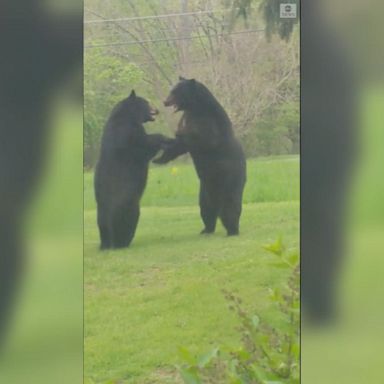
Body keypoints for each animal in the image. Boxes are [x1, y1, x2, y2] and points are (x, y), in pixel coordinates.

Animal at [94, 91, 170, 250]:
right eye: (147, 102)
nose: (157, 110)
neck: (127, 116)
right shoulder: (127, 133)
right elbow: (143, 145)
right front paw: (163, 138)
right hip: (129, 207)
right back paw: (123, 242)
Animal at [154, 77, 248, 236]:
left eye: (175, 91)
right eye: (172, 90)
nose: (165, 101)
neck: (195, 108)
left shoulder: (210, 123)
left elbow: (203, 138)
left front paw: (180, 133)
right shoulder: (187, 117)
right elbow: (179, 147)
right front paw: (159, 158)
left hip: (230, 180)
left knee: (230, 206)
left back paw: (232, 230)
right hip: (205, 191)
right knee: (206, 210)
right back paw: (206, 229)